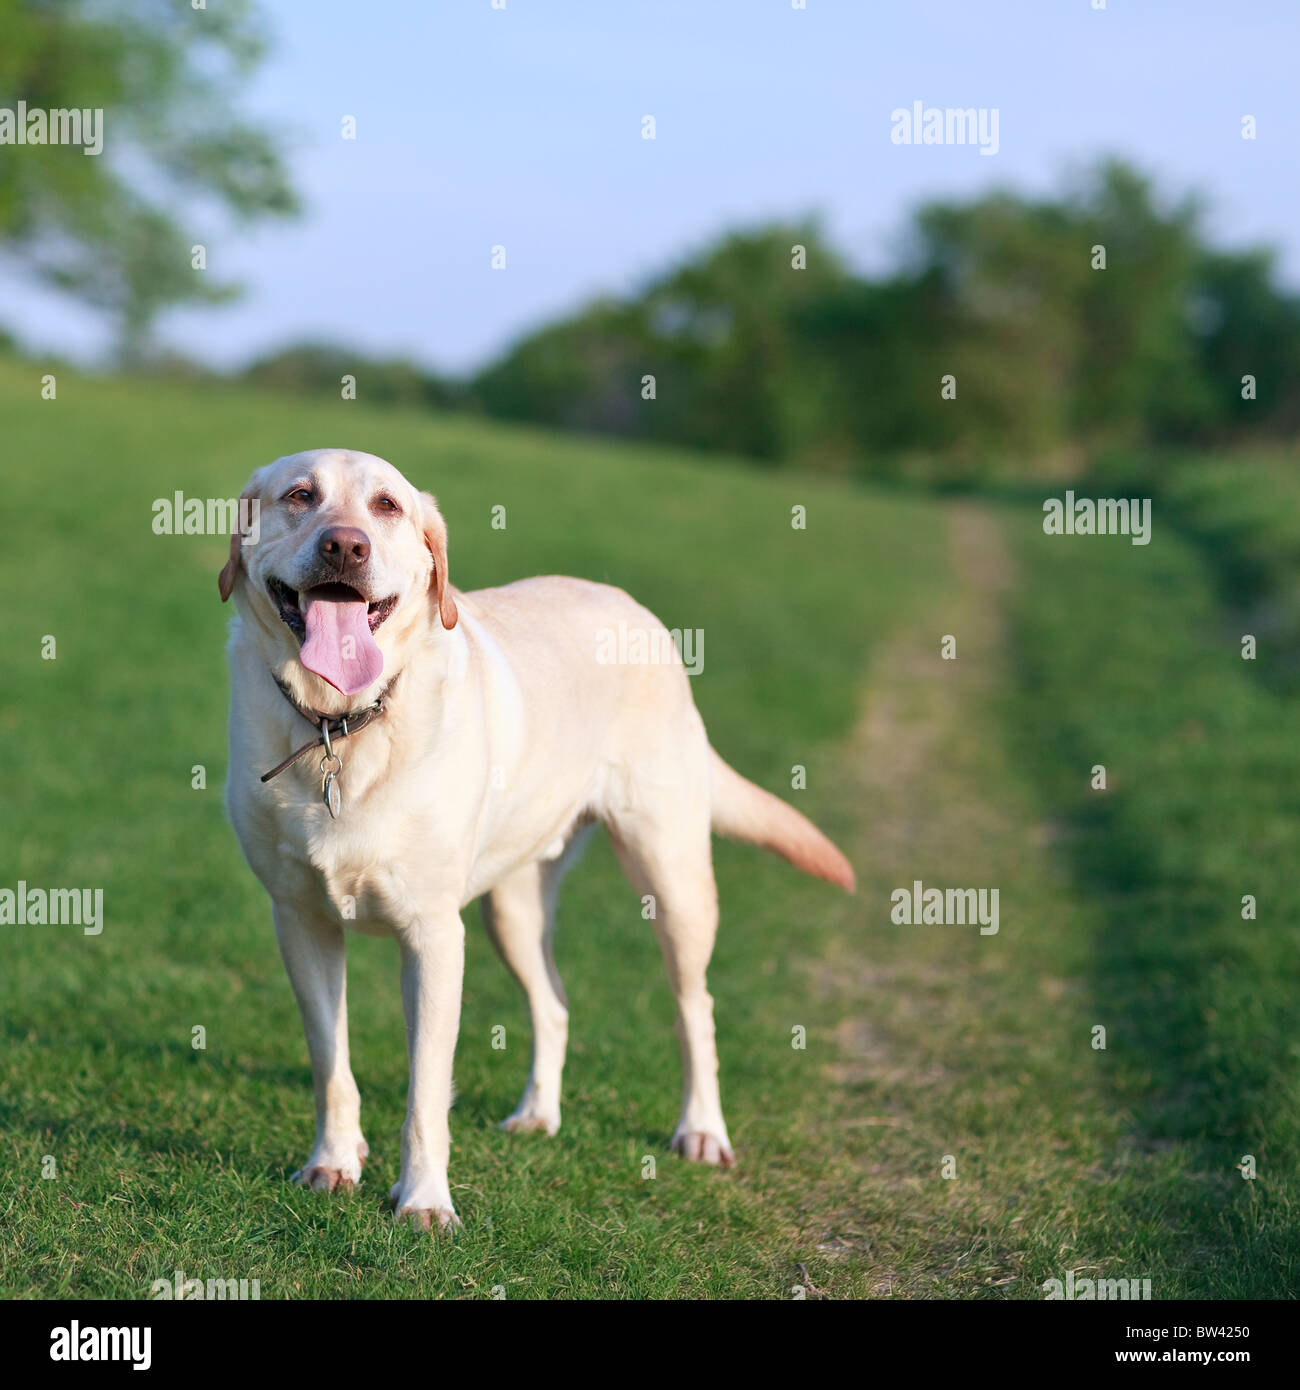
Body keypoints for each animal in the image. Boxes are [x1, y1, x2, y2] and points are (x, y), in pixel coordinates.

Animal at [219, 447, 856, 1228]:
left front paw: (423, 1200)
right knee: (553, 1003)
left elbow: (425, 1093)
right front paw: (334, 1162)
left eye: (387, 506)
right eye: (300, 495)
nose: (345, 545)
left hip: (672, 879)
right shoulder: (301, 921)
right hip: (512, 908)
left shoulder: (434, 937)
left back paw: (702, 1130)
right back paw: (538, 1114)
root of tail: (633, 608)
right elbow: (330, 1064)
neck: (339, 728)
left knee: (694, 1010)